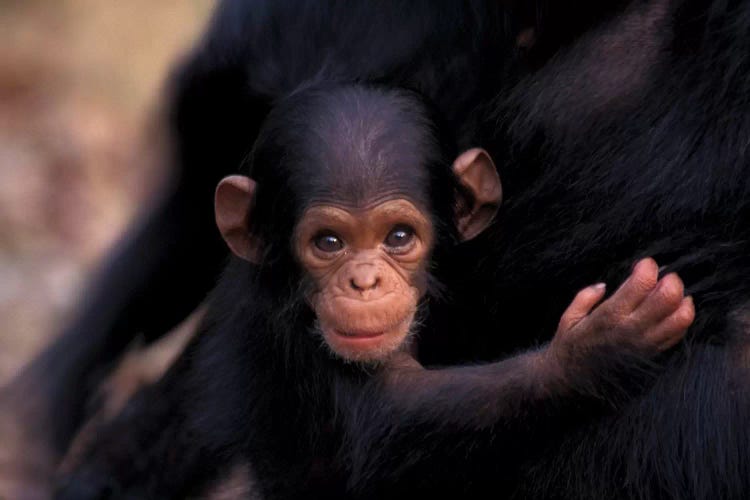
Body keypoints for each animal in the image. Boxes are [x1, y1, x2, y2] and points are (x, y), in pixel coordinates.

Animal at [55, 84, 696, 498]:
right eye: (329, 242)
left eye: (398, 236)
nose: (364, 281)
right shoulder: (293, 337)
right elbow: (390, 420)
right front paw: (594, 351)